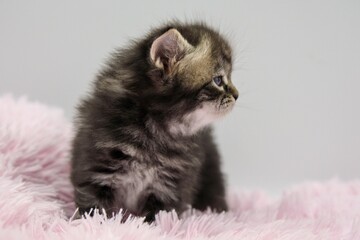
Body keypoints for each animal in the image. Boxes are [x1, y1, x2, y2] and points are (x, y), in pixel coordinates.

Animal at [70, 21, 239, 222]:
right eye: (218, 80)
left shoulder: (170, 186)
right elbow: (94, 210)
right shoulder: (96, 169)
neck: (153, 129)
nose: (237, 95)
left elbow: (158, 217)